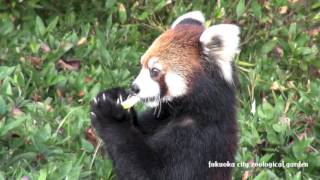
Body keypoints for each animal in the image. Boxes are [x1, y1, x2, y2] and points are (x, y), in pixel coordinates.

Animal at [91, 11, 239, 180]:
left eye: (154, 71)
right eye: (141, 64)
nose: (134, 88)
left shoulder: (200, 140)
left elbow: (152, 173)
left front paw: (110, 116)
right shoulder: (158, 117)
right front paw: (116, 96)